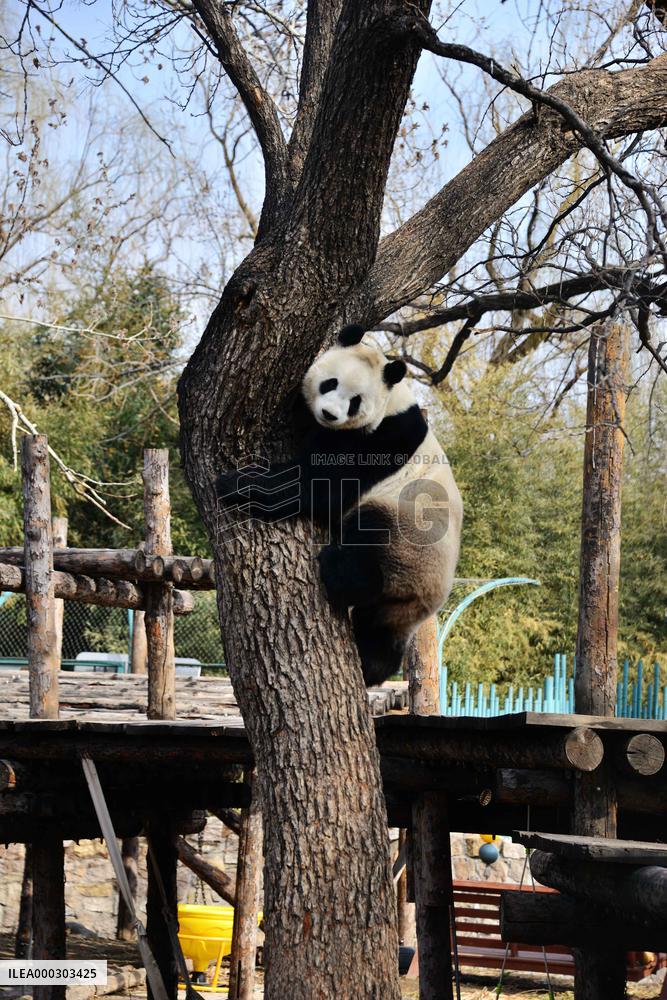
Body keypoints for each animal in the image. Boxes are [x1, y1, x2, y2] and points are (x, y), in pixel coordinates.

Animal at [216, 324, 462, 687]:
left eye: (355, 401)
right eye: (330, 383)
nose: (329, 414)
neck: (392, 402)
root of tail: (427, 596)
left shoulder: (382, 441)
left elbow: (323, 485)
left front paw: (240, 485)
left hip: (412, 533)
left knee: (369, 534)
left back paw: (339, 570)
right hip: (400, 601)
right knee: (378, 627)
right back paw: (371, 666)